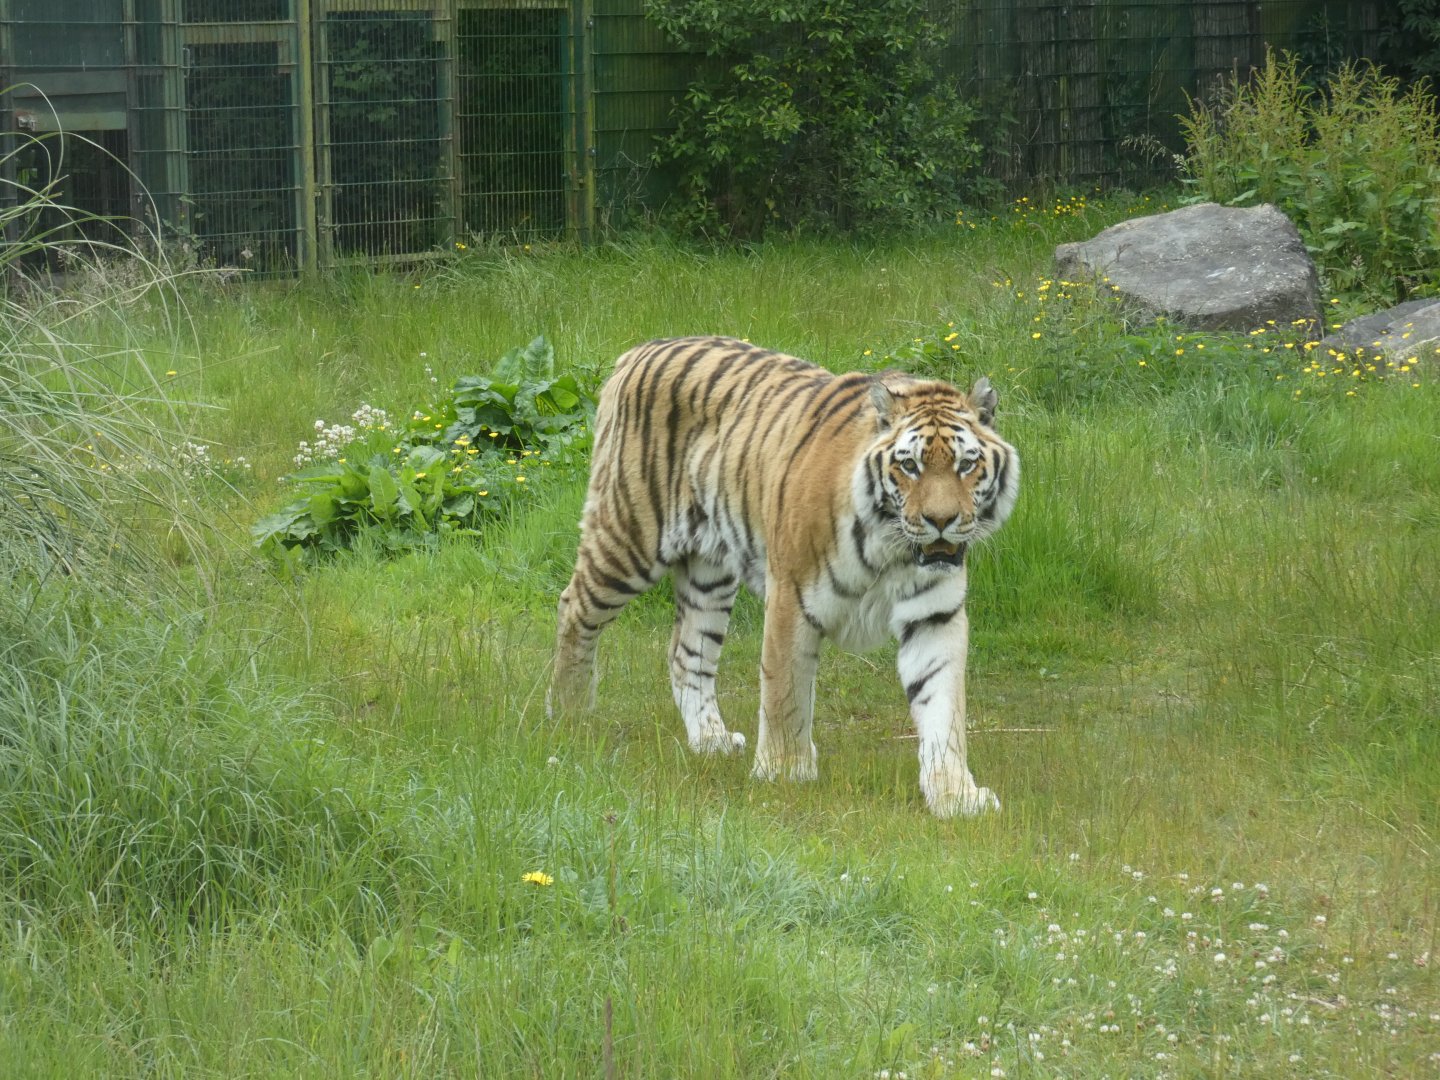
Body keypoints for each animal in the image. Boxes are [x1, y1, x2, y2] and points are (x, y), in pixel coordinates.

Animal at [549, 336, 1019, 817]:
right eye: (910, 466)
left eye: (966, 465)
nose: (941, 521)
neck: (892, 547)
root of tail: (640, 349)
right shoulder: (792, 596)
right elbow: (785, 691)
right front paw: (783, 773)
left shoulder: (934, 616)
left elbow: (943, 708)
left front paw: (956, 795)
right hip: (631, 539)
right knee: (575, 606)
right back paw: (570, 711)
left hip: (709, 574)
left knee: (686, 652)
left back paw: (711, 740)